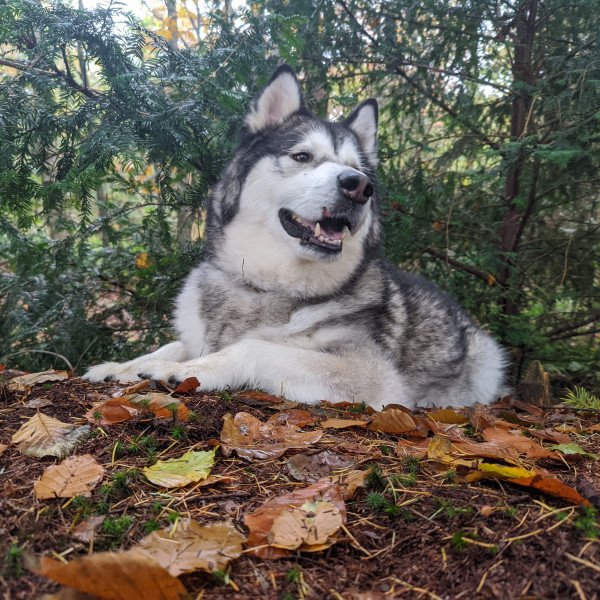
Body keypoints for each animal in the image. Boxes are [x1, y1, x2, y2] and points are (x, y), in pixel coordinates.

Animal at [84, 67, 506, 412]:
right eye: (302, 156)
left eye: (356, 168)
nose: (359, 186)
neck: (266, 287)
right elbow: (175, 343)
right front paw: (122, 365)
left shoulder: (374, 376)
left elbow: (253, 346)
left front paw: (178, 368)